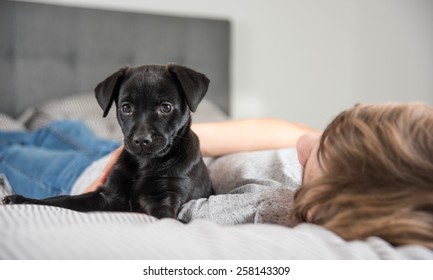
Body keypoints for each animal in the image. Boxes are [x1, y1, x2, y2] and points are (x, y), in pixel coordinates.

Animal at [3, 63, 213, 219]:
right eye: (126, 107)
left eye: (166, 107)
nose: (141, 140)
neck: (145, 165)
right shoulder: (106, 196)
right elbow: (62, 199)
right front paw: (22, 200)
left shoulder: (166, 196)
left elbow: (165, 217)